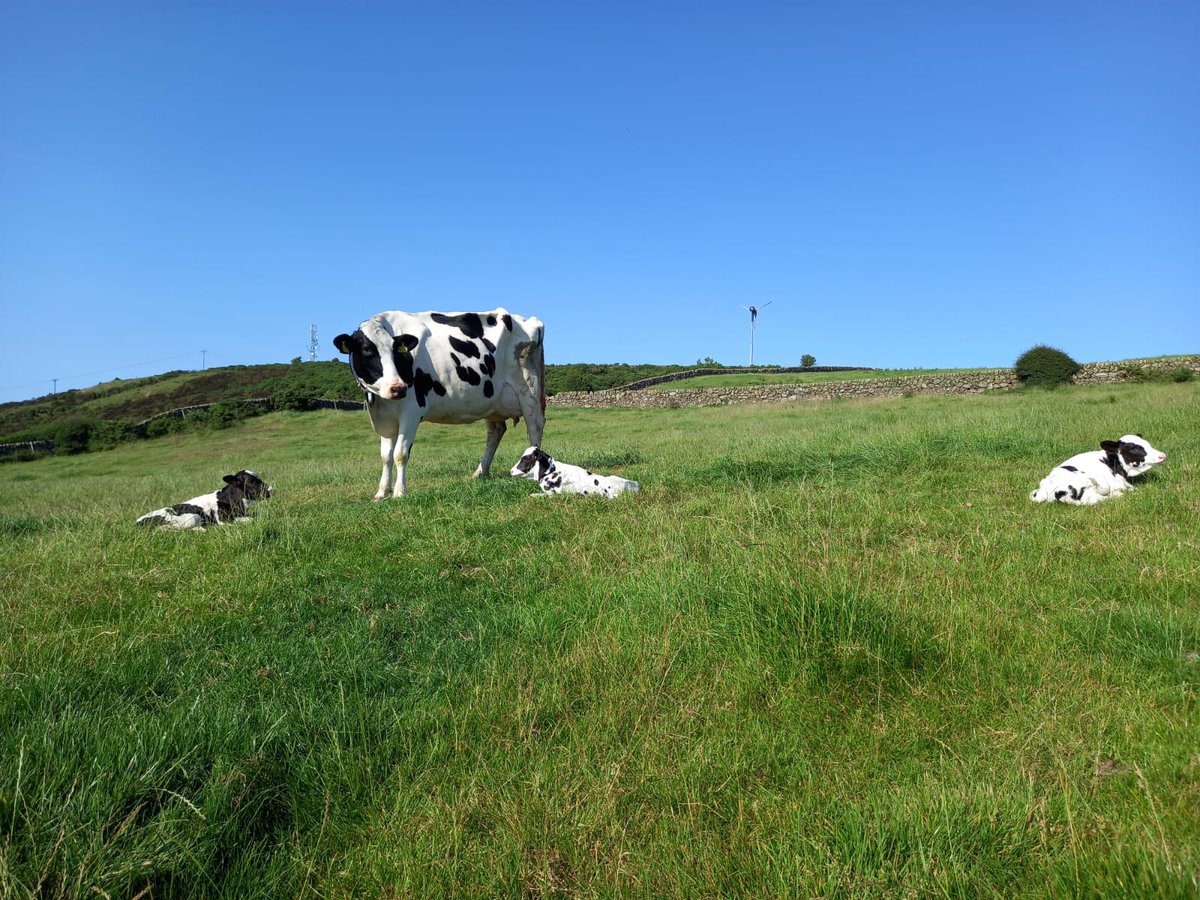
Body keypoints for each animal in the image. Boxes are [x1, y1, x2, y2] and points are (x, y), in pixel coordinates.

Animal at [137, 470, 274, 529]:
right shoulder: (222, 520)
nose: (271, 489)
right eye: (251, 481)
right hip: (191, 518)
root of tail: (136, 522)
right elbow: (249, 519)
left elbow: (256, 515)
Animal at [334, 308, 545, 499]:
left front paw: (399, 493)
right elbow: (386, 456)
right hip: (491, 401)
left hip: (530, 391)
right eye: (367, 350)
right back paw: (480, 473)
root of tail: (526, 319)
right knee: (496, 432)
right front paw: (381, 492)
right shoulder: (385, 417)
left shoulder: (411, 410)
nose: (398, 388)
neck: (378, 403)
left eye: (396, 351)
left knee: (535, 427)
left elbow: (400, 453)